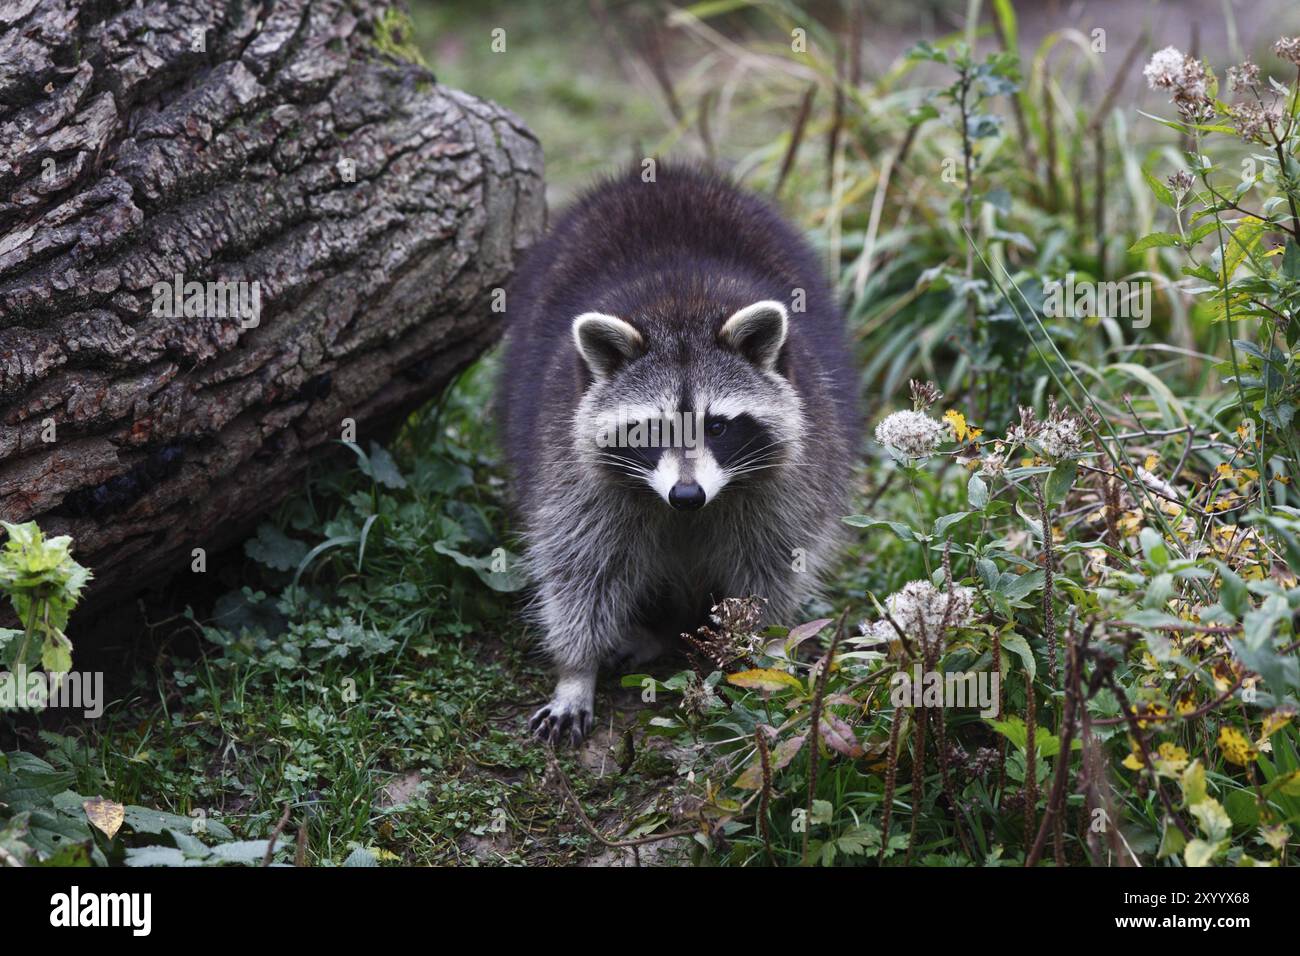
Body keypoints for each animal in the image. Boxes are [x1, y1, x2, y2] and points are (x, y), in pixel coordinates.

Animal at [501, 164, 857, 749]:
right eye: (652, 428)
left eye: (716, 427)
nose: (686, 494)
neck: (680, 310)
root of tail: (665, 175)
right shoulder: (569, 466)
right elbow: (579, 567)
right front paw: (576, 670)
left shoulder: (792, 475)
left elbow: (771, 565)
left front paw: (757, 652)